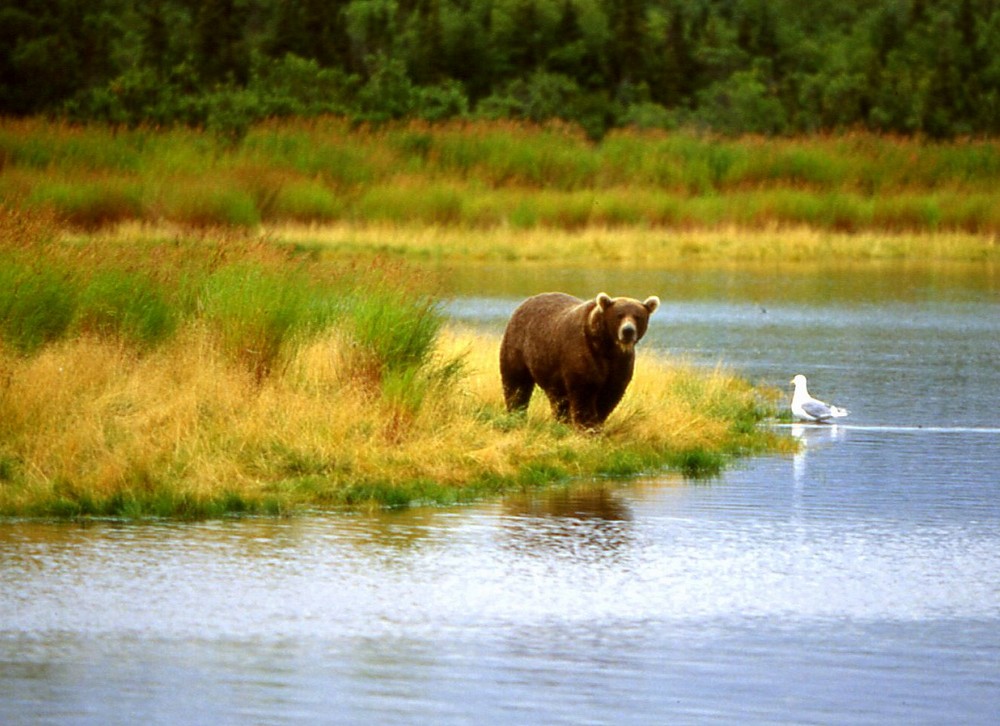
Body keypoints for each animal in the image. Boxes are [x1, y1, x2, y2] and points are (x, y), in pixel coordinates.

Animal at [498, 292, 656, 430]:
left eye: (638, 317)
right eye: (619, 315)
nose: (628, 331)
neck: (607, 347)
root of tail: (526, 302)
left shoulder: (621, 363)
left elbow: (610, 395)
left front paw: (597, 423)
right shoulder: (583, 352)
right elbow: (584, 393)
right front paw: (588, 428)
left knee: (558, 397)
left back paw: (561, 421)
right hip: (518, 345)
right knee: (517, 383)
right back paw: (516, 413)